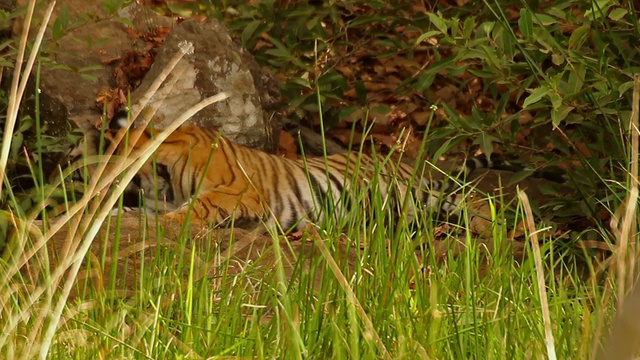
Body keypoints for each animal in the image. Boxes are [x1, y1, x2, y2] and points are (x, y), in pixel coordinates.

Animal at [69, 110, 524, 233]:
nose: (84, 184)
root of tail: (408, 160)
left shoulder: (239, 190)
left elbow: (199, 206)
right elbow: (140, 212)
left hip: (422, 190)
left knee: (475, 198)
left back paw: (495, 226)